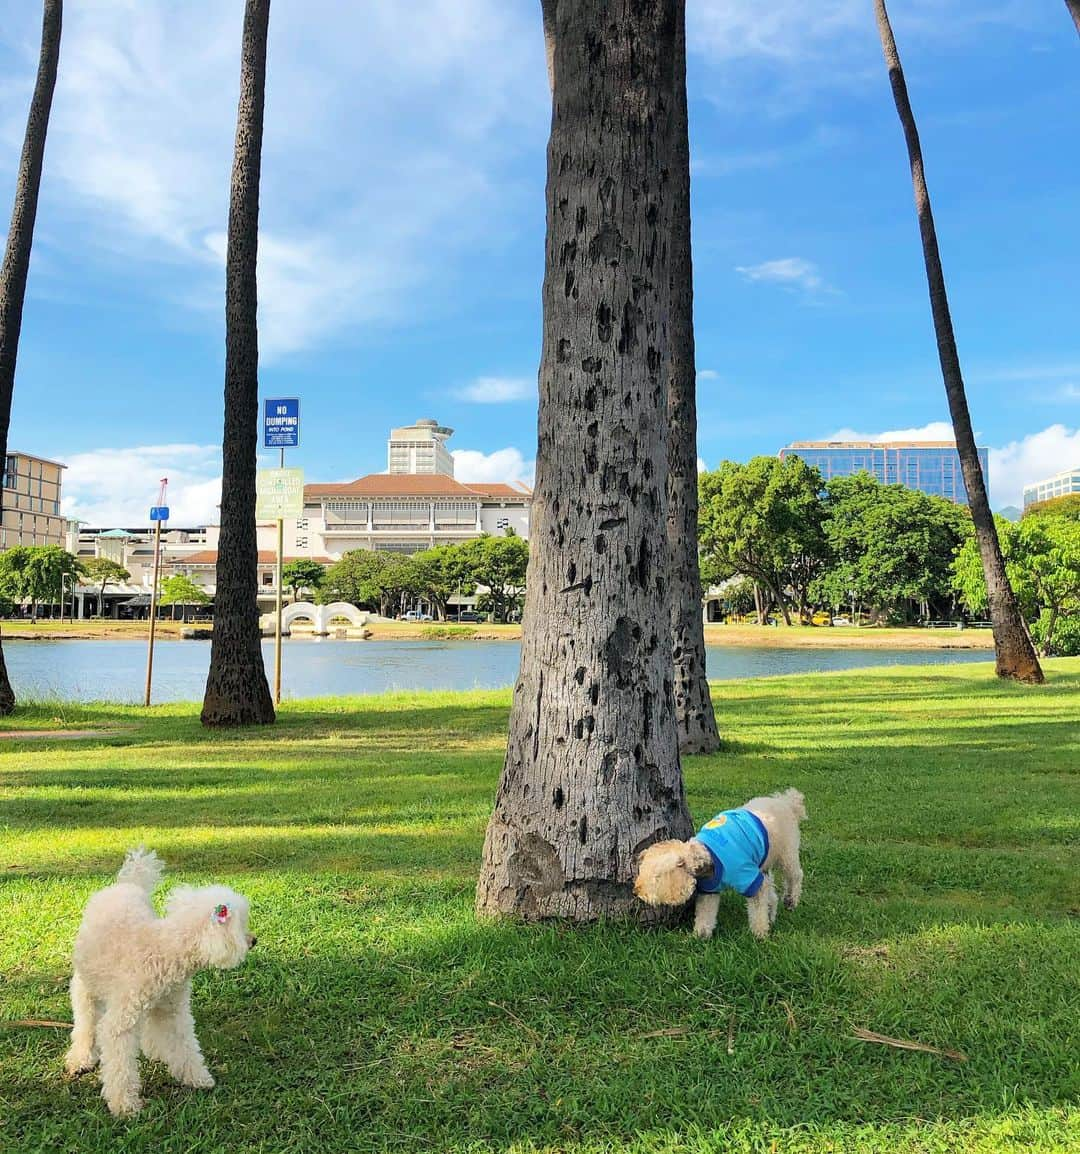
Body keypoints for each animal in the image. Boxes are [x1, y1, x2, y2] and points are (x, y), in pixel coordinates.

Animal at [63, 849, 255, 1117]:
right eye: (240, 925)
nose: (254, 940)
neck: (164, 948)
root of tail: (128, 883)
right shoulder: (119, 1023)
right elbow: (120, 1065)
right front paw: (125, 1104)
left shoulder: (173, 1011)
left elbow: (186, 1046)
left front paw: (197, 1078)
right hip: (87, 983)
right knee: (86, 1020)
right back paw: (80, 1058)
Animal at [636, 784, 807, 937]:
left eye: (656, 878)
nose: (637, 891)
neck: (707, 854)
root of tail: (787, 802)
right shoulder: (709, 889)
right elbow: (706, 913)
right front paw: (699, 935)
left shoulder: (748, 877)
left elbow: (758, 909)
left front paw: (760, 934)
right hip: (764, 862)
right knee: (771, 891)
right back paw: (772, 913)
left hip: (787, 852)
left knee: (795, 875)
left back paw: (791, 900)